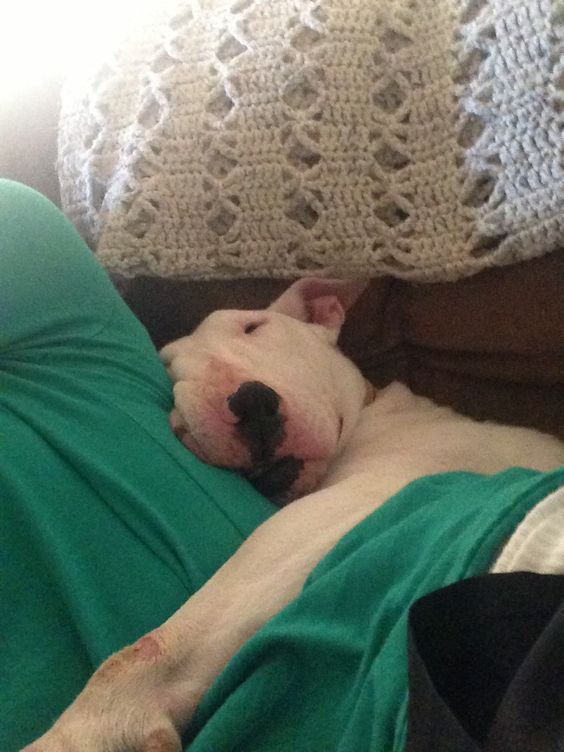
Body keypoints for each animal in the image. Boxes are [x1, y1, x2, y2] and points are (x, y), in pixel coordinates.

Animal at [25, 278, 564, 752]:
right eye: (170, 372)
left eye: (254, 327)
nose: (250, 403)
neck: (370, 419)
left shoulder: (348, 503)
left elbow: (159, 640)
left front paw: (82, 733)